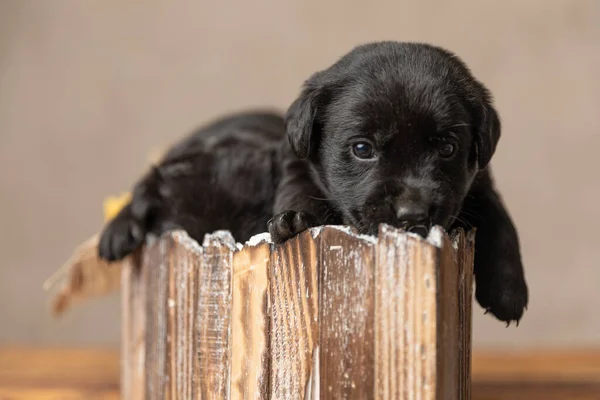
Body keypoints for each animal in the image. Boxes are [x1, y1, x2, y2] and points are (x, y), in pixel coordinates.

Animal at [101, 41, 528, 324]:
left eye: (448, 149)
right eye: (362, 148)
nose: (413, 214)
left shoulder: (479, 183)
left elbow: (502, 223)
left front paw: (508, 291)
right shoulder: (296, 165)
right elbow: (298, 194)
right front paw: (294, 221)